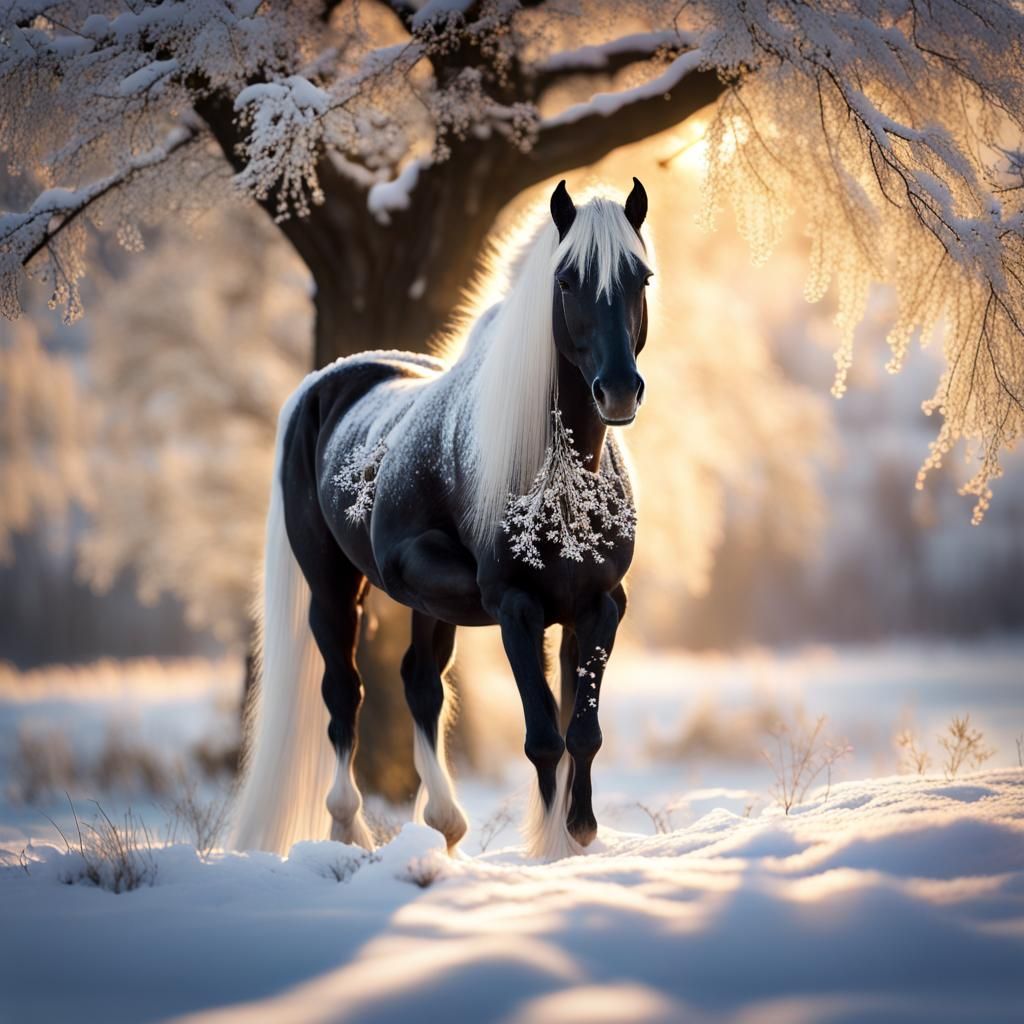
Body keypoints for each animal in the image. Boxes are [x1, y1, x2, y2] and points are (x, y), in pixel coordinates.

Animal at [230, 178, 654, 861]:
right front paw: (551, 849)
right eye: (567, 281)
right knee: (343, 692)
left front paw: (577, 835)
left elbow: (581, 731)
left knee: (420, 683)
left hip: (428, 610)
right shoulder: (515, 605)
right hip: (331, 588)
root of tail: (323, 384)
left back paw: (446, 824)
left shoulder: (600, 605)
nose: (617, 390)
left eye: (640, 277)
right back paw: (347, 827)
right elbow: (544, 735)